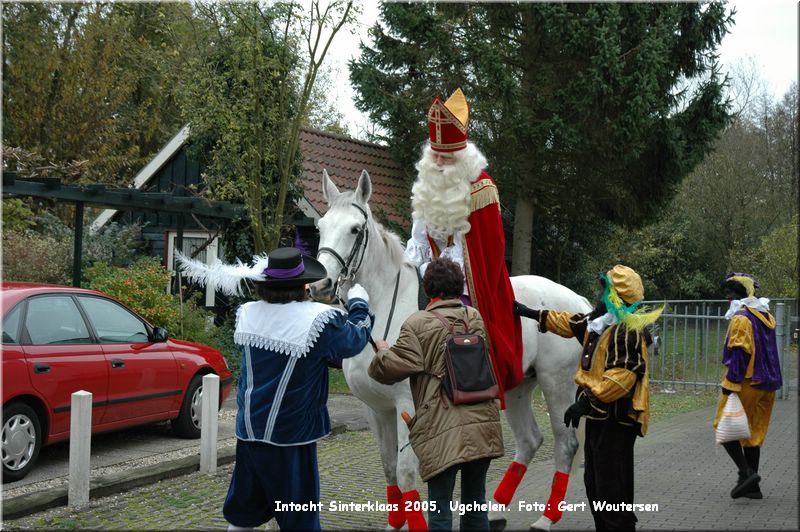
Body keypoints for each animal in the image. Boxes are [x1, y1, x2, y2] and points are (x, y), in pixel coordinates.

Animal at [310, 168, 592, 528]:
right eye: (320, 227)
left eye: (355, 229)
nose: (320, 285)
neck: (382, 307)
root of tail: (575, 303)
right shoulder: (375, 409)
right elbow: (388, 468)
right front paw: (394, 523)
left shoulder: (407, 405)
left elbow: (405, 471)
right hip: (518, 386)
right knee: (530, 441)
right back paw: (496, 511)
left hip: (557, 384)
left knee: (565, 444)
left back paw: (546, 518)